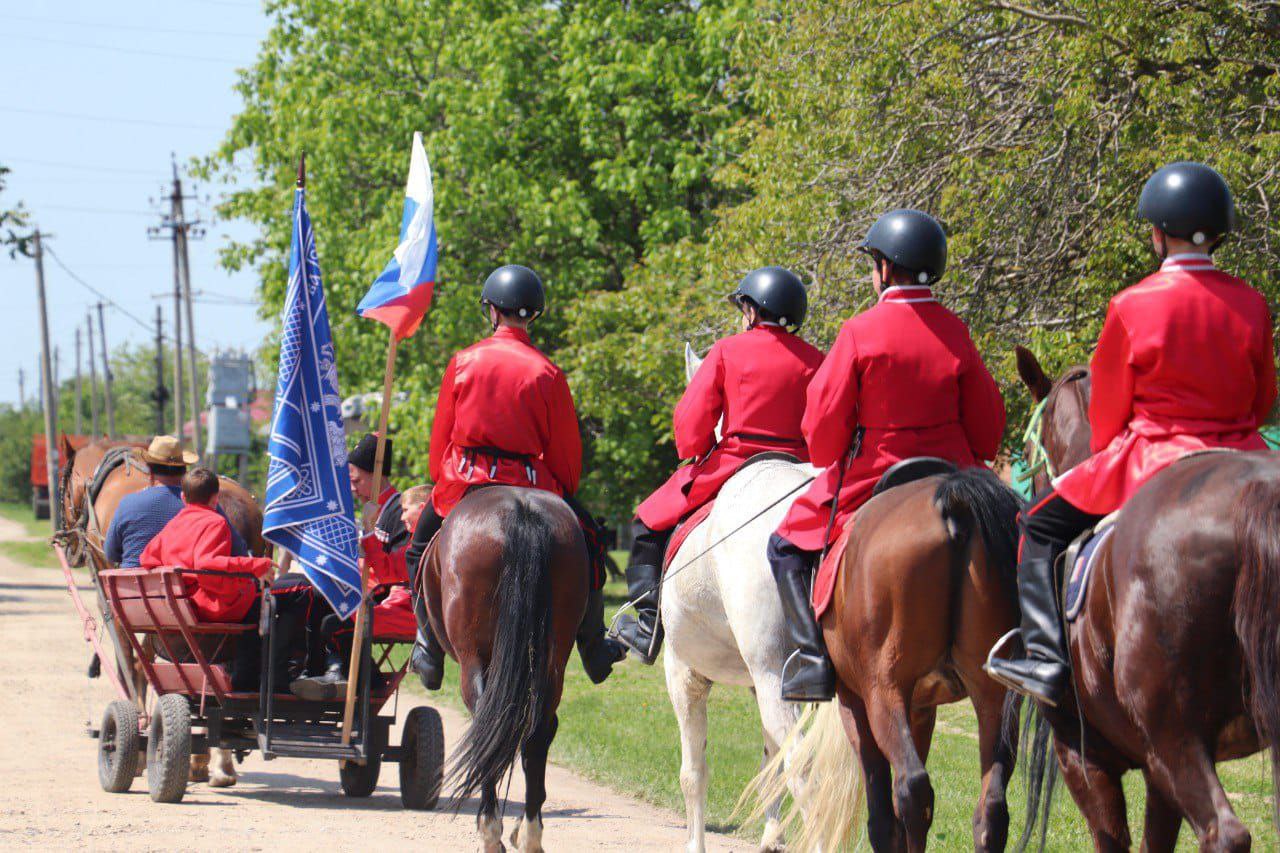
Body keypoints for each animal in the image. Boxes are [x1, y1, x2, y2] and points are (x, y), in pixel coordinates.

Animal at [419, 484, 586, 850]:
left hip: (474, 660)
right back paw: (530, 834)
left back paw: (490, 830)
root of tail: (521, 511)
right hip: (552, 664)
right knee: (537, 734)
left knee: (487, 726)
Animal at [660, 343, 819, 850]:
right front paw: (771, 837)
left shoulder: (683, 672)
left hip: (773, 671)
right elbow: (769, 764)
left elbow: (694, 773)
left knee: (805, 768)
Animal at [747, 466, 1024, 850]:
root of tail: (954, 504)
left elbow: (881, 811)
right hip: (994, 697)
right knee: (990, 808)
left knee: (912, 789)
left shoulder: (854, 701)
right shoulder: (922, 708)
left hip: (883, 691)